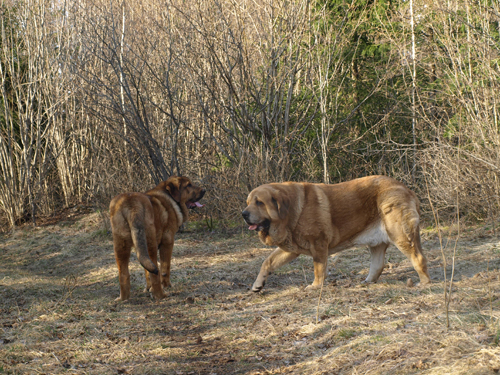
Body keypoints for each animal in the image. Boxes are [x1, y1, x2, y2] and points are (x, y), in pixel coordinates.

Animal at [242, 175, 430, 292]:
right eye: (248, 202)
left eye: (259, 202)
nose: (243, 214)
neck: (292, 212)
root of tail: (406, 189)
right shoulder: (291, 249)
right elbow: (268, 262)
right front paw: (257, 284)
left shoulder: (318, 244)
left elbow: (318, 268)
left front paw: (316, 286)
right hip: (377, 243)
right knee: (378, 265)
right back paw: (367, 282)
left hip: (400, 235)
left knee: (419, 258)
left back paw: (424, 283)